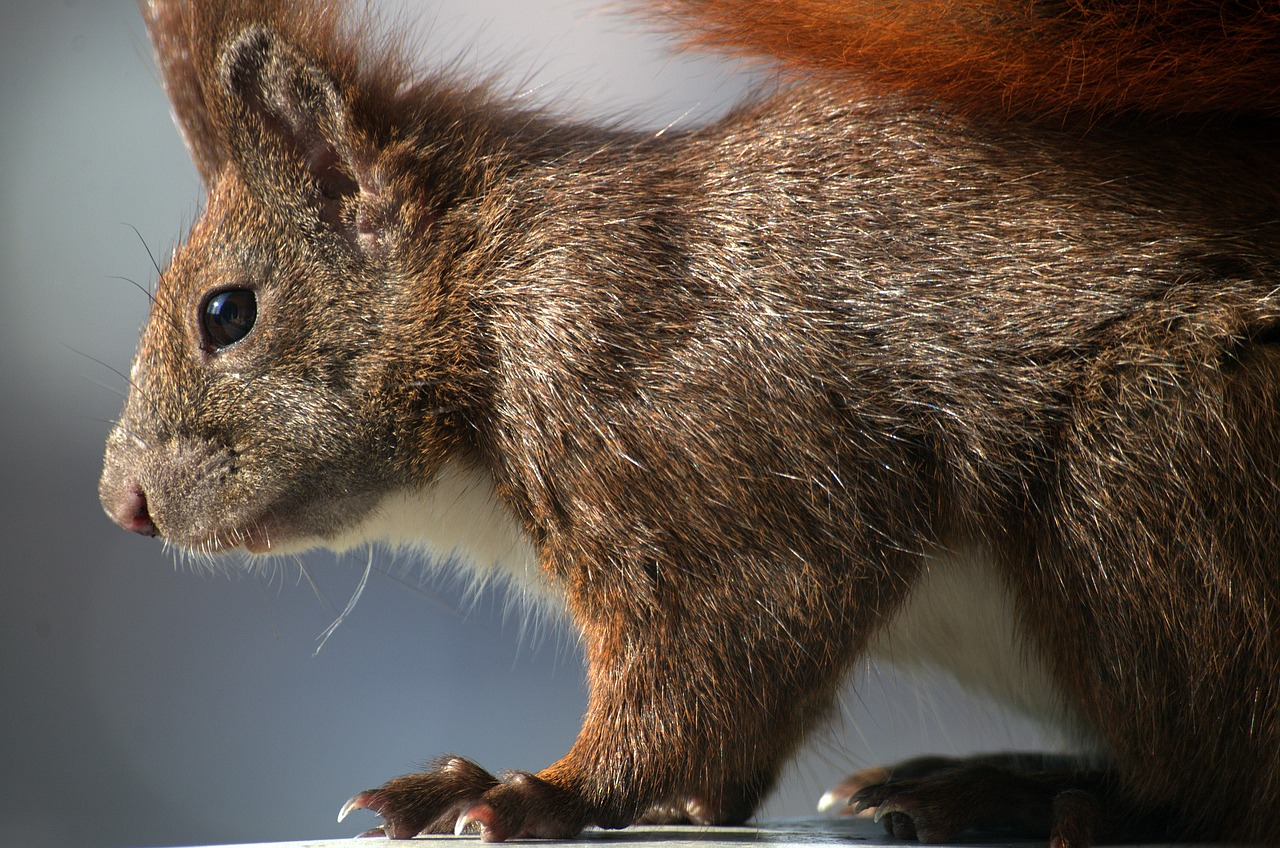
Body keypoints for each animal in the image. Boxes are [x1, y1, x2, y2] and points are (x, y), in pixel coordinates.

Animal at [99, 0, 1280, 845]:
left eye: (226, 314)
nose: (123, 503)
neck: (494, 301)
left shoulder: (693, 439)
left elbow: (725, 653)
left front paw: (547, 791)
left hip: (1154, 458)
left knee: (1217, 777)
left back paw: (1050, 798)